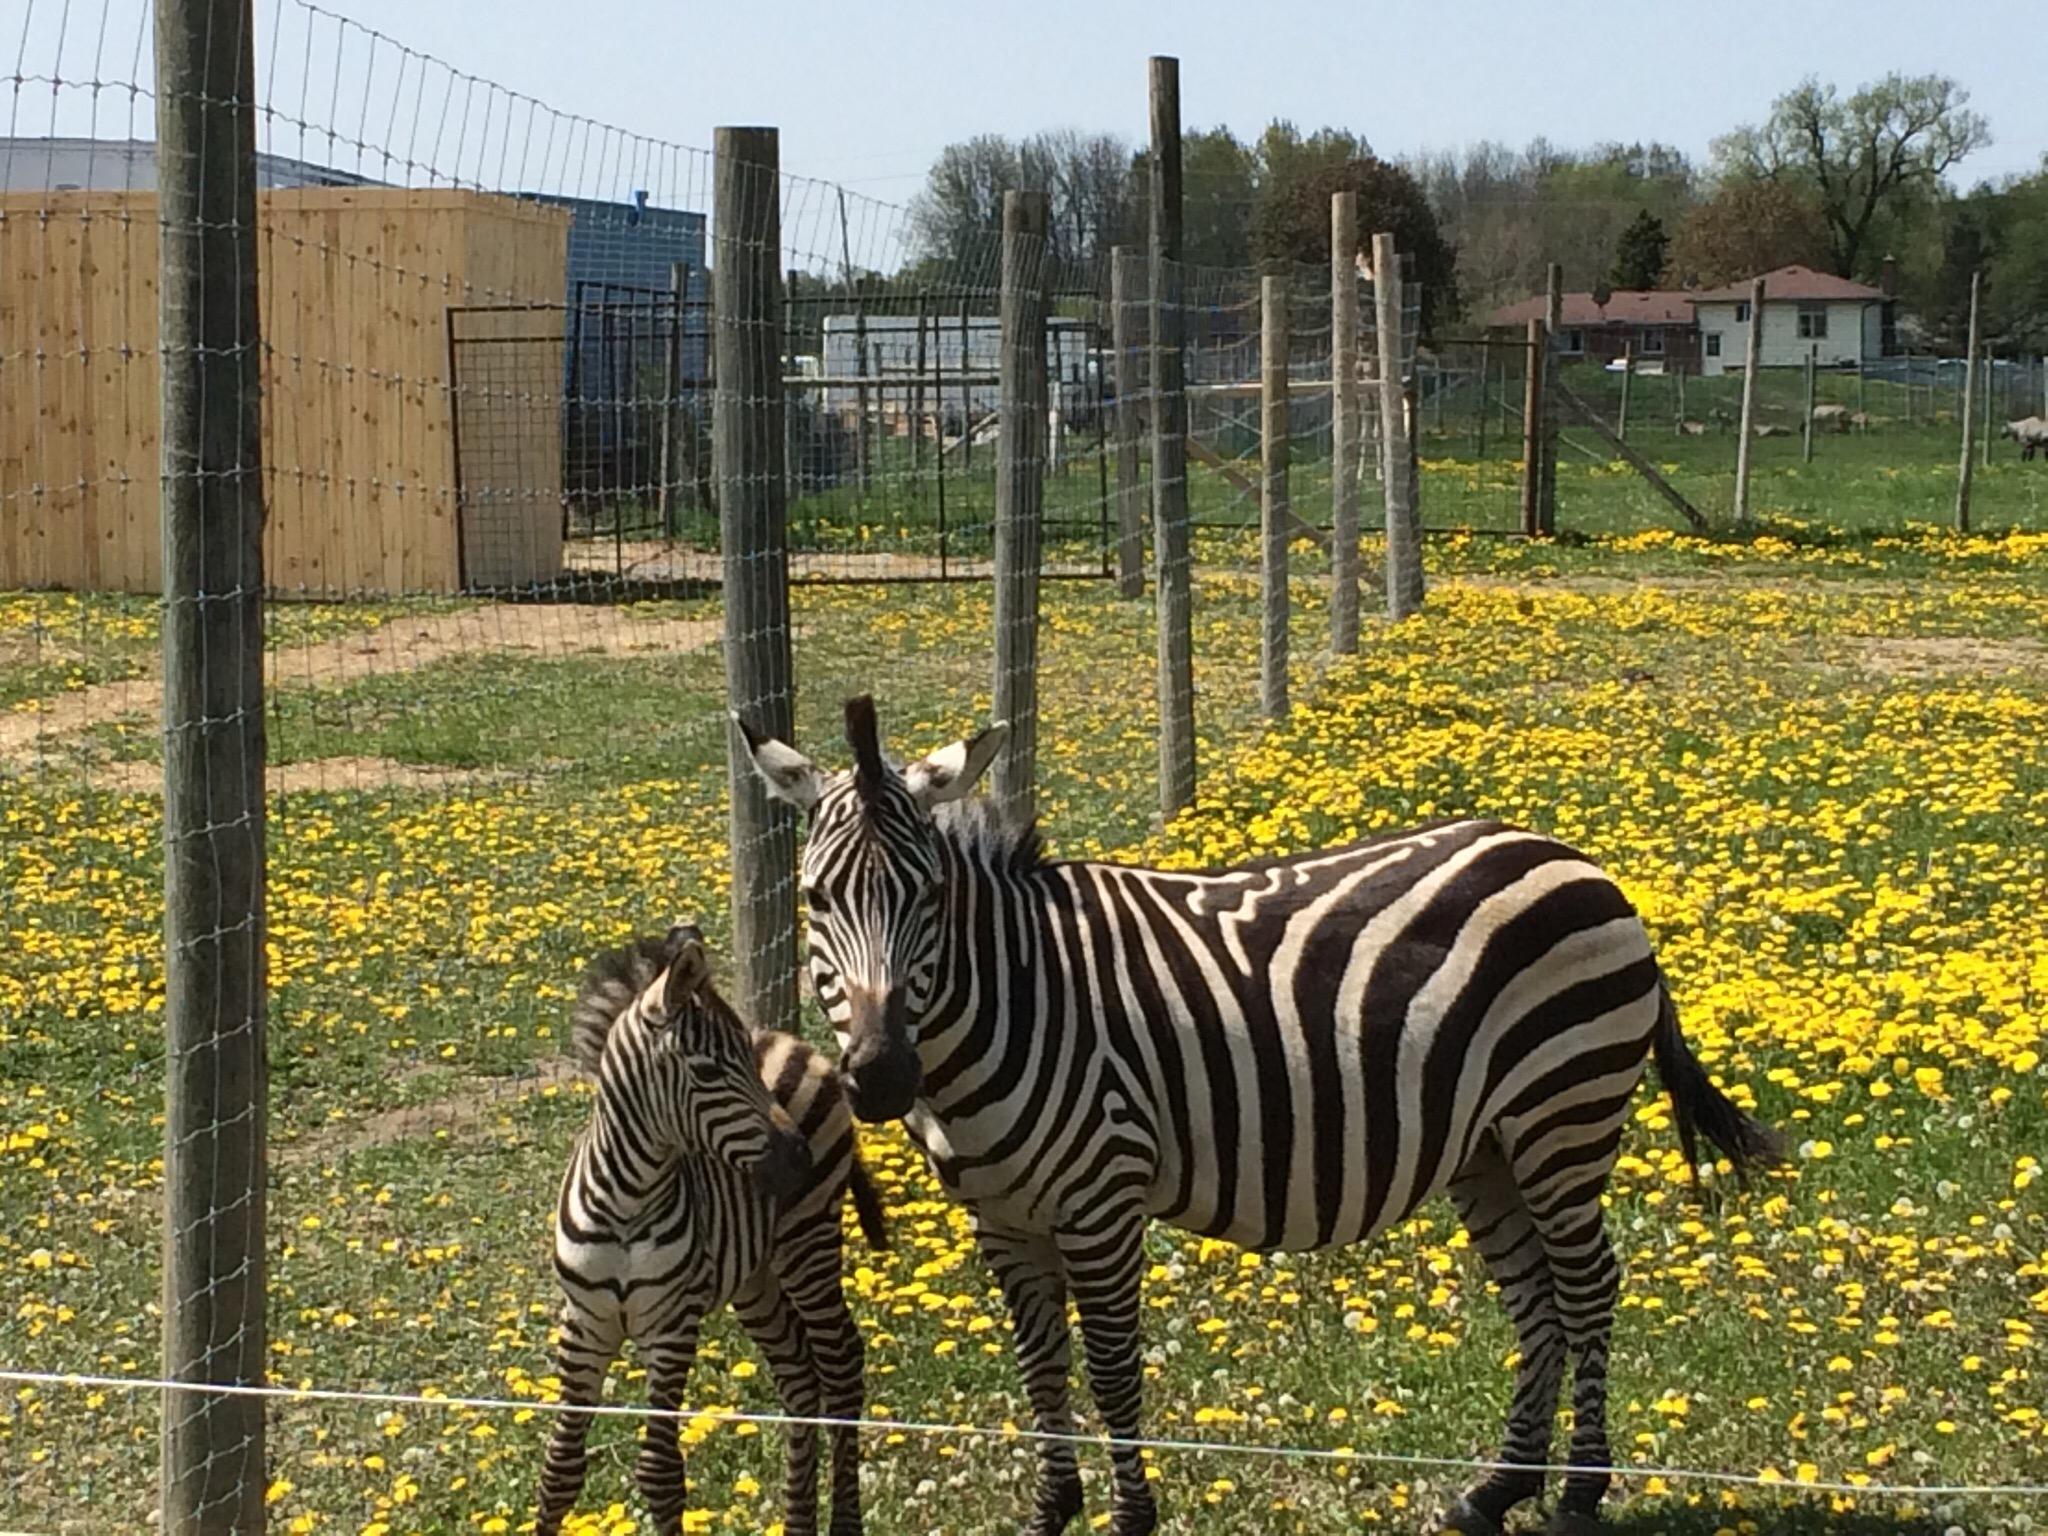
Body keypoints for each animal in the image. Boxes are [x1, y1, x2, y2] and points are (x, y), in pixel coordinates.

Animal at [544, 925, 888, 1536]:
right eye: (706, 1071)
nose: (799, 1162)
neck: (625, 1203)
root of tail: (791, 1041)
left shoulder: (671, 1325)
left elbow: (660, 1471)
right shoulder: (584, 1324)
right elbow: (560, 1469)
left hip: (808, 1245)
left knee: (842, 1362)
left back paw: (843, 1521)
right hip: (755, 1277)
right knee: (799, 1376)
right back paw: (797, 1522)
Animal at [741, 704, 1777, 1536]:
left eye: (930, 897)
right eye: (815, 899)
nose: (881, 1077)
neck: (1017, 996)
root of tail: (1577, 861)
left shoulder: (1102, 1198)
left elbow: (1111, 1369)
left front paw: (1131, 1519)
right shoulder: (1004, 1218)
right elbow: (1041, 1369)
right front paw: (1050, 1512)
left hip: (1560, 1115)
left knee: (1589, 1287)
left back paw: (1579, 1495)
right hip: (1489, 1149)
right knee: (1536, 1298)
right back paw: (1493, 1492)